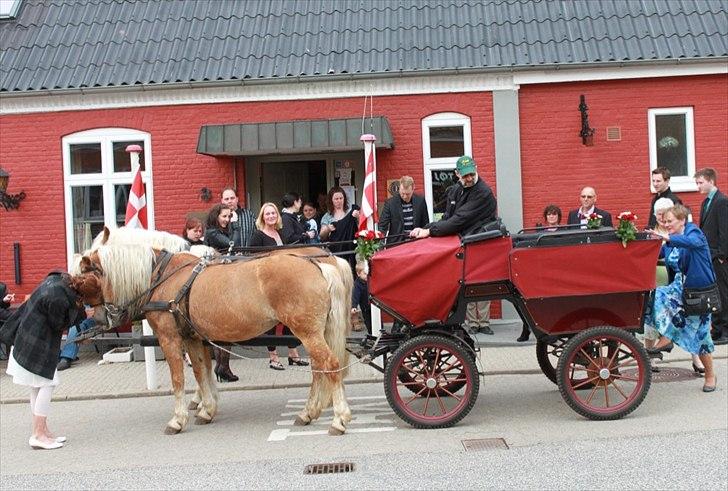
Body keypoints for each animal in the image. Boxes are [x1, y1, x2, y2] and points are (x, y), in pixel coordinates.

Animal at [77, 240, 356, 436]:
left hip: (307, 332)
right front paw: (206, 409)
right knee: (320, 369)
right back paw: (309, 412)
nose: (99, 319)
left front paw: (178, 419)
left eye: (83, 280)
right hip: (315, 332)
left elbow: (178, 378)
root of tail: (319, 264)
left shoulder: (170, 338)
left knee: (330, 365)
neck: (163, 277)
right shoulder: (193, 338)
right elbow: (201, 372)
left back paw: (338, 419)